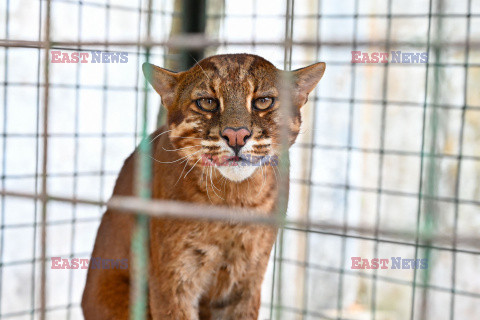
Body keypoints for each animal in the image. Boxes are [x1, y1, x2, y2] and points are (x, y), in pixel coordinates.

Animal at [81, 53, 326, 318]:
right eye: (207, 102)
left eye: (263, 101)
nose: (236, 135)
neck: (233, 201)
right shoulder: (174, 279)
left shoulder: (247, 277)